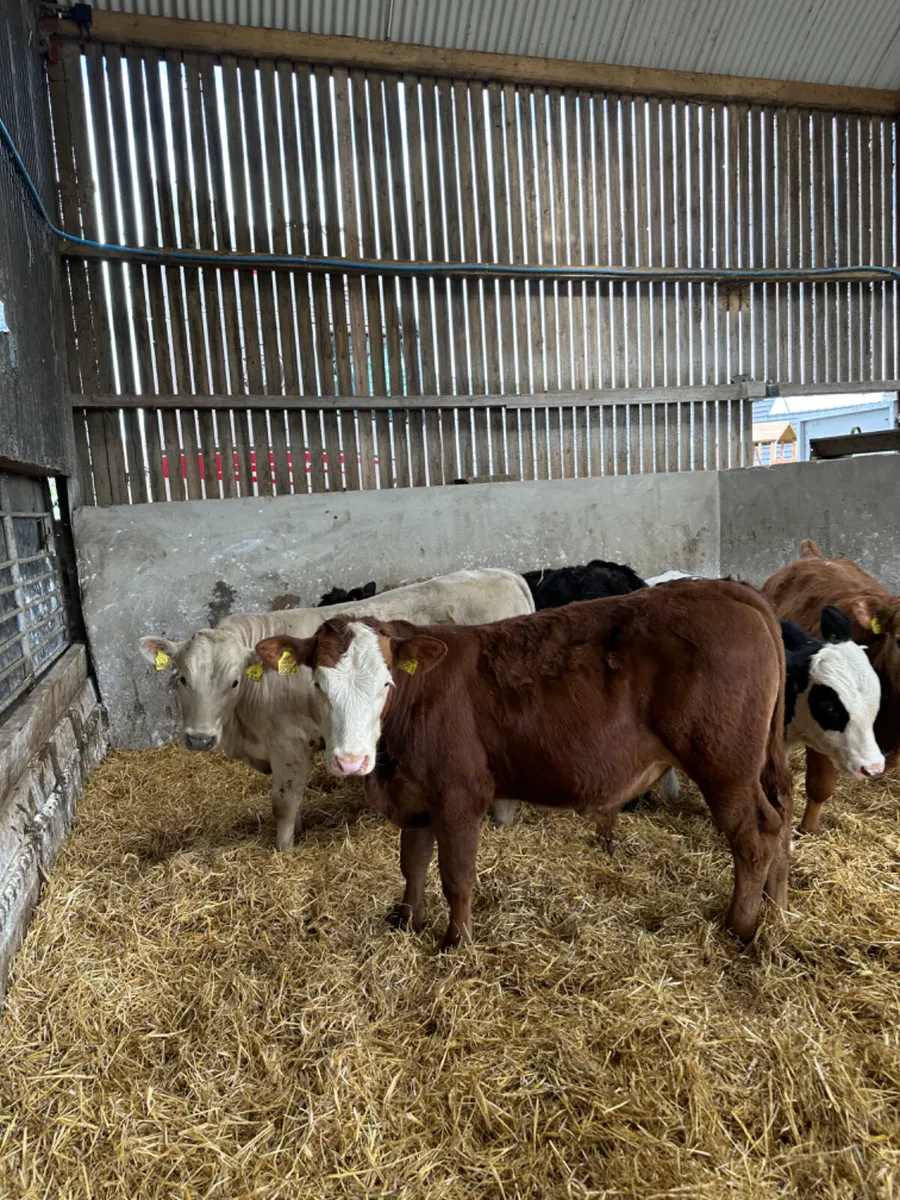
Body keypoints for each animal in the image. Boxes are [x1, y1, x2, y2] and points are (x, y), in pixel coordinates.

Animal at [138, 569, 533, 849]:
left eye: (234, 681)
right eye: (181, 678)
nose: (200, 739)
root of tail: (501, 573)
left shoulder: (290, 744)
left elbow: (283, 802)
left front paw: (284, 850)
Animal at [255, 579, 794, 949]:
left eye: (387, 684)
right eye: (318, 685)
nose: (351, 761)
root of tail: (720, 587)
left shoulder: (458, 796)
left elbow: (456, 876)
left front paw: (456, 943)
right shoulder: (416, 795)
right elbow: (413, 864)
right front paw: (407, 921)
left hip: (724, 764)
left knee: (754, 835)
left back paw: (739, 925)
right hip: (755, 764)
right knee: (781, 817)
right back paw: (776, 908)